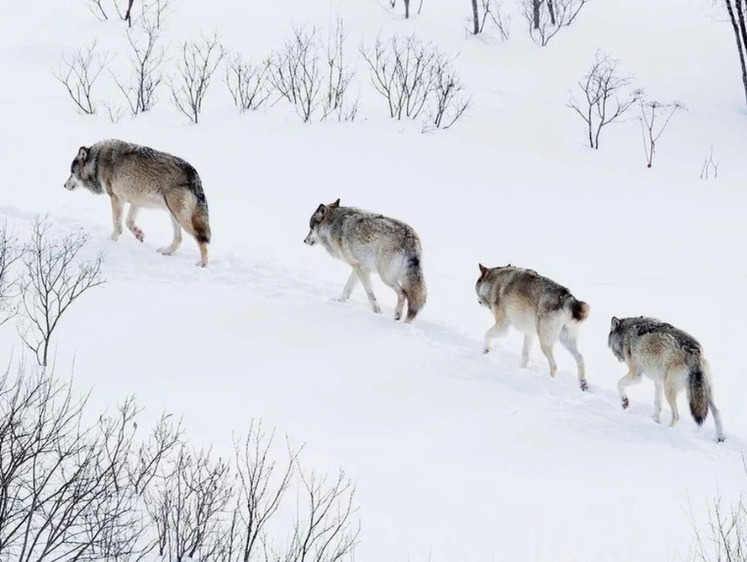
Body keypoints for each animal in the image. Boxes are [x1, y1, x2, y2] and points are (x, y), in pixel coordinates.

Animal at [62, 138, 212, 264]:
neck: (97, 162)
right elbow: (128, 222)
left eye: (71, 172)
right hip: (173, 214)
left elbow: (117, 225)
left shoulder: (116, 199)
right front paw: (139, 234)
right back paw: (166, 251)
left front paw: (111, 242)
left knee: (199, 237)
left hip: (179, 216)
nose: (64, 185)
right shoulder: (136, 202)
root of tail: (192, 172)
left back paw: (202, 264)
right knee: (179, 239)